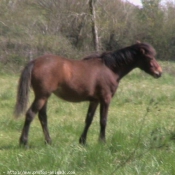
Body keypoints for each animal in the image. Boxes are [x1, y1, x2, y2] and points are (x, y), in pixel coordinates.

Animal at [14, 41, 162, 146]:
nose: (159, 72)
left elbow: (89, 119)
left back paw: (49, 142)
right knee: (30, 115)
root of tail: (35, 61)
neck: (110, 68)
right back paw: (24, 142)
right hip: (42, 96)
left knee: (43, 117)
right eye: (150, 57)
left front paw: (83, 141)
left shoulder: (94, 100)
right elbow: (103, 120)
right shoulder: (105, 99)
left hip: (44, 97)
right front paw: (102, 142)